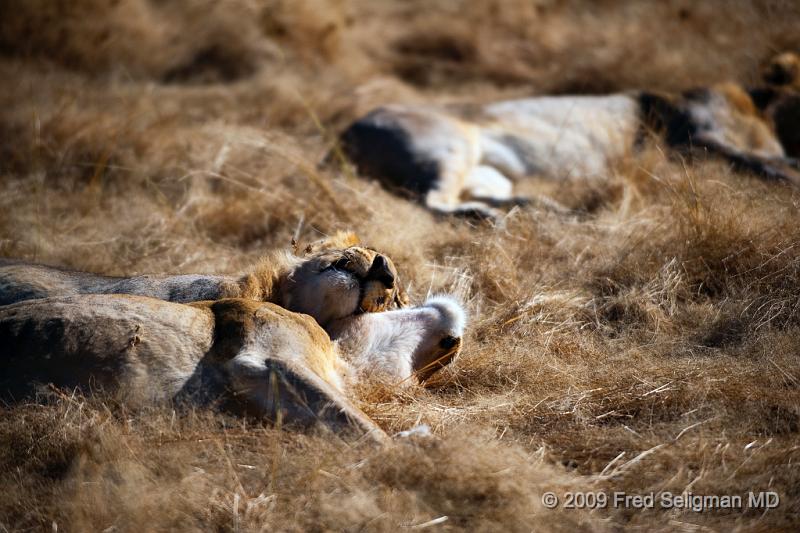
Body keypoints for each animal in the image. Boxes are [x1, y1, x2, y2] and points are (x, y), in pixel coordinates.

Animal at [338, 50, 800, 216]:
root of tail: (348, 128)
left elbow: (768, 157)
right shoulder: (693, 134)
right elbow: (756, 160)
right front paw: (787, 178)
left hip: (488, 172)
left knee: (478, 195)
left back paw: (543, 208)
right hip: (450, 146)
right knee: (435, 202)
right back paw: (486, 218)